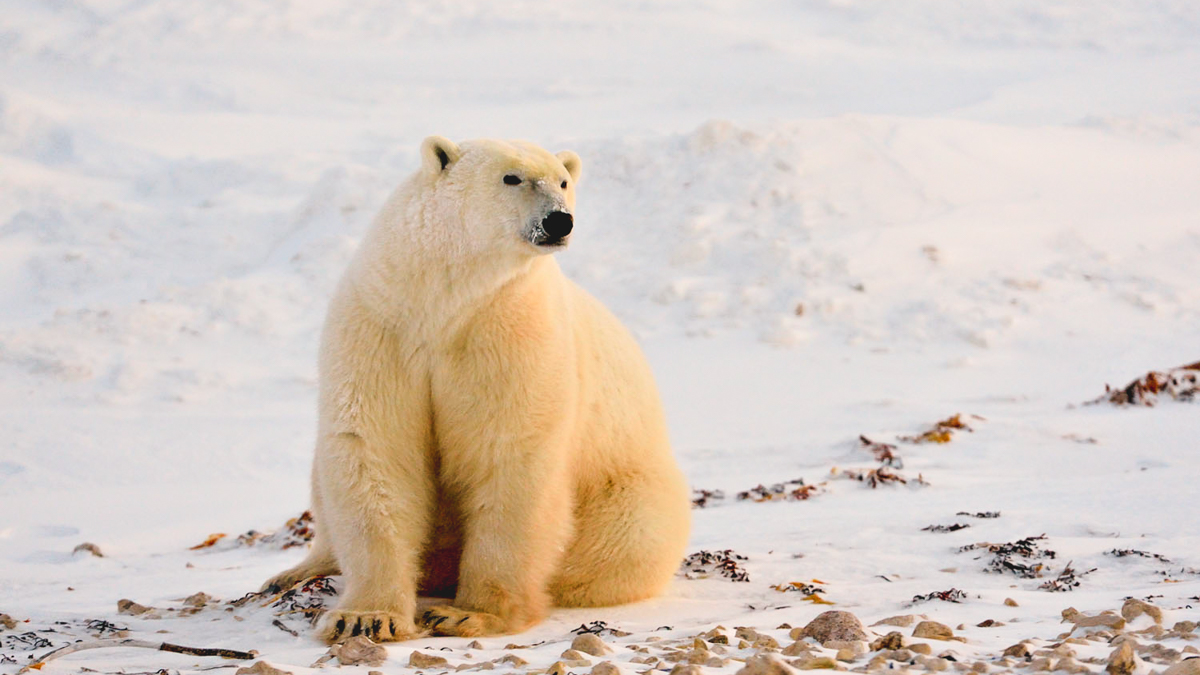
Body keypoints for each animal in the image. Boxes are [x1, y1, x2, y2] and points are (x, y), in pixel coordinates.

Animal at [262, 133, 696, 638]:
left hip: (626, 495)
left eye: (563, 181)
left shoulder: (508, 328)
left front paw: (469, 613)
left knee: (618, 545)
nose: (559, 220)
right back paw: (297, 572)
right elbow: (375, 446)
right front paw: (365, 618)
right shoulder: (382, 324)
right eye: (512, 177)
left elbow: (508, 454)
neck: (444, 301)